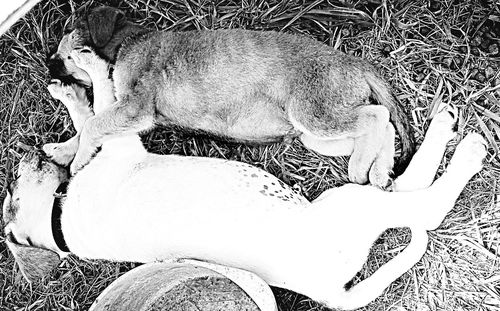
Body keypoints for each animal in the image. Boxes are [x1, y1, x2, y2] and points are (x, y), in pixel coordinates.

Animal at [2, 55, 488, 310]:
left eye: (11, 182)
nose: (22, 155)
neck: (60, 222)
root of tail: (329, 290)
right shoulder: (123, 146)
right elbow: (100, 110)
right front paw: (88, 69)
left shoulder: (112, 145)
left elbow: (88, 119)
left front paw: (68, 92)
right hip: (349, 203)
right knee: (424, 205)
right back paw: (468, 149)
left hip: (354, 198)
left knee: (404, 182)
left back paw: (444, 125)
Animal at [47, 6, 414, 188]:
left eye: (67, 31)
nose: (48, 64)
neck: (127, 41)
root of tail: (355, 63)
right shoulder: (127, 112)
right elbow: (92, 122)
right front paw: (63, 150)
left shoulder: (136, 109)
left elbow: (93, 123)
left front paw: (77, 161)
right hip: (320, 135)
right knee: (382, 126)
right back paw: (380, 171)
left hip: (315, 114)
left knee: (377, 116)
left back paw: (361, 169)